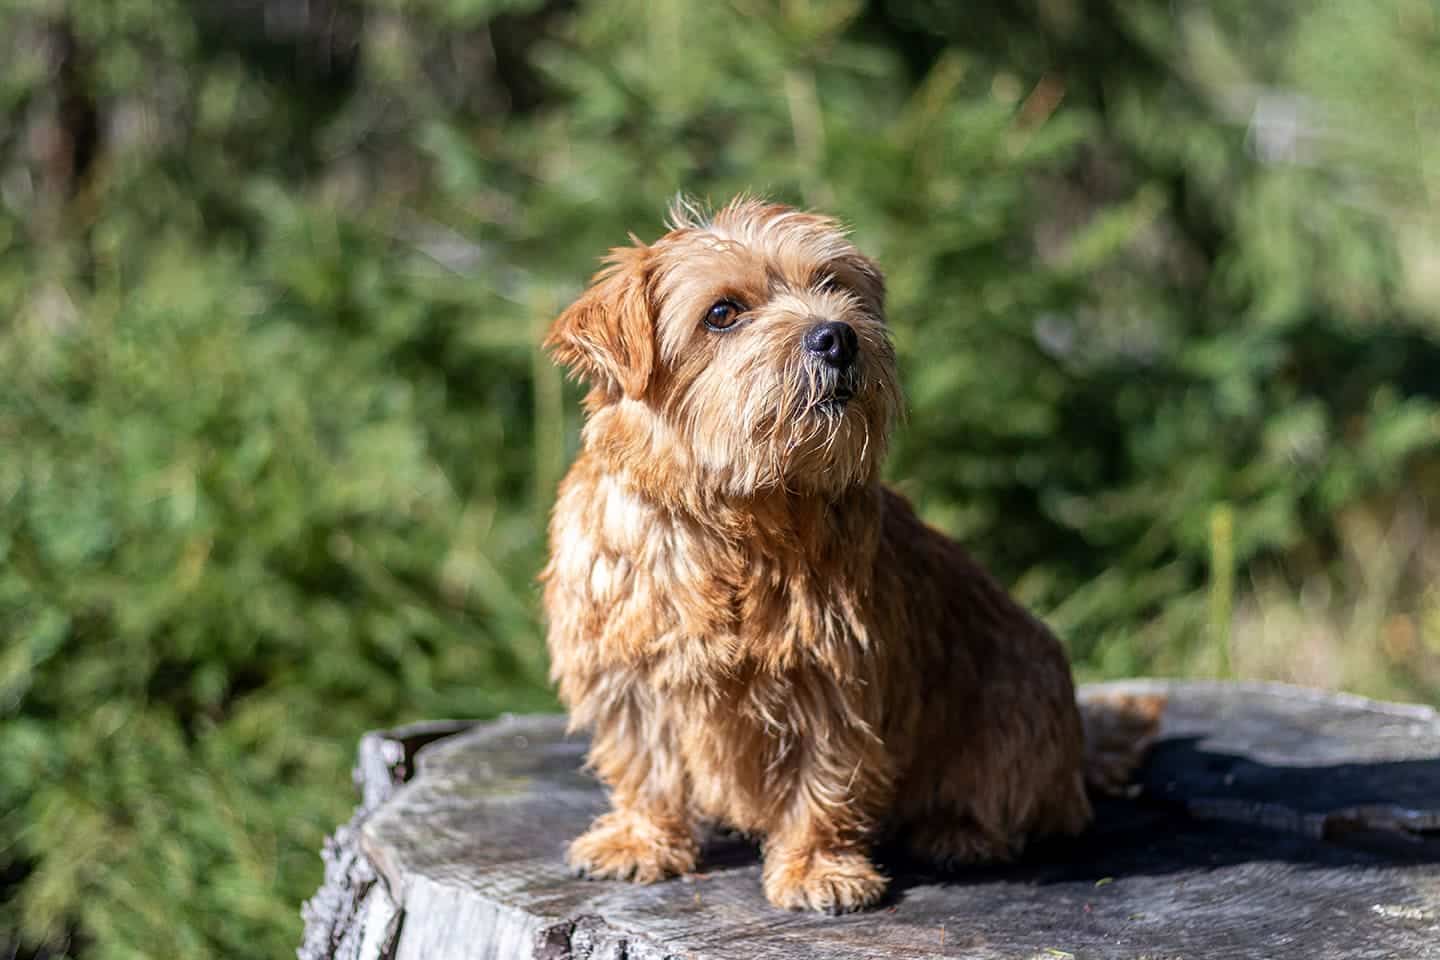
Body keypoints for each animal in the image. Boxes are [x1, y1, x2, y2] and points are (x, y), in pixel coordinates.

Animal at [541, 197, 1157, 915]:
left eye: (834, 285)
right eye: (722, 312)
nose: (837, 335)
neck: (732, 518)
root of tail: (1080, 751)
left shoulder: (834, 682)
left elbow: (825, 780)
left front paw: (817, 870)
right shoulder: (628, 679)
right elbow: (644, 767)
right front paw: (640, 840)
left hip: (1019, 700)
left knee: (1017, 802)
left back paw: (959, 833)